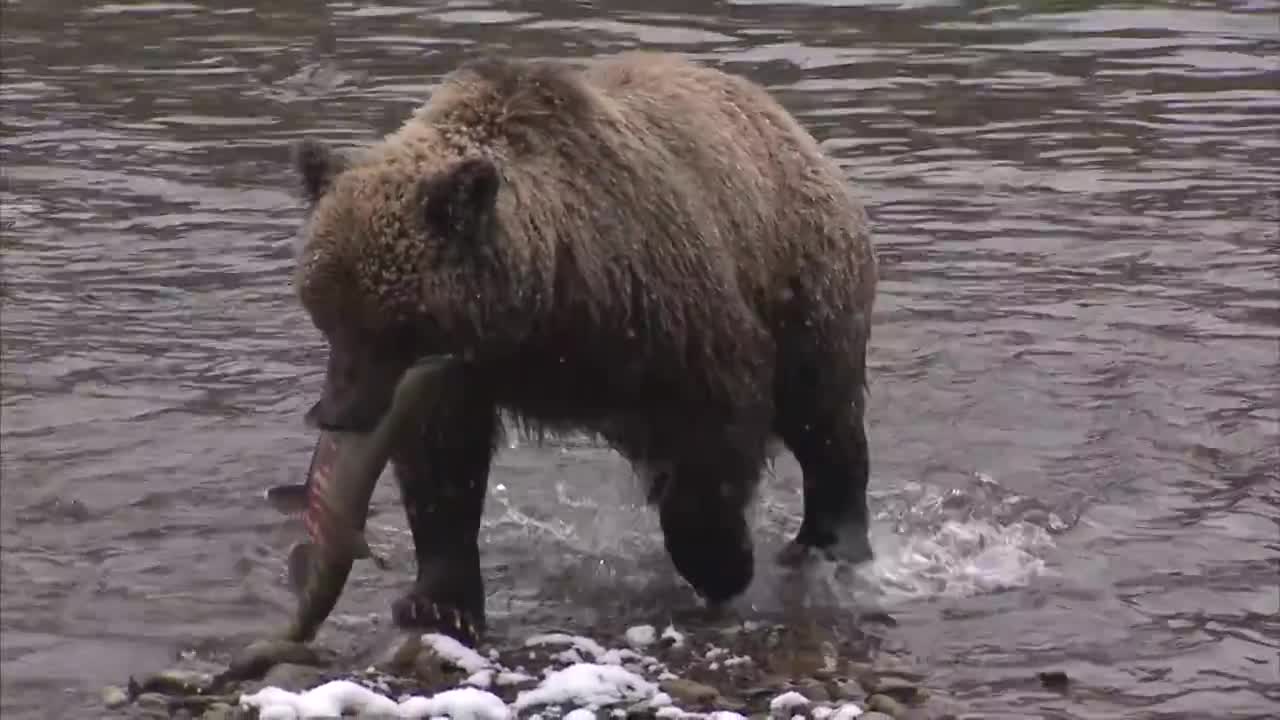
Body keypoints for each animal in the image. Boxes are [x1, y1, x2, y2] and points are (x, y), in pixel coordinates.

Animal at [293, 51, 880, 645]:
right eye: (325, 313)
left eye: (389, 324)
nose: (335, 414)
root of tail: (790, 125)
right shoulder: (463, 372)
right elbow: (443, 464)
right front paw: (438, 603)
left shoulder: (668, 311)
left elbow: (717, 425)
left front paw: (724, 562)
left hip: (805, 281)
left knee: (823, 418)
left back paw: (829, 540)